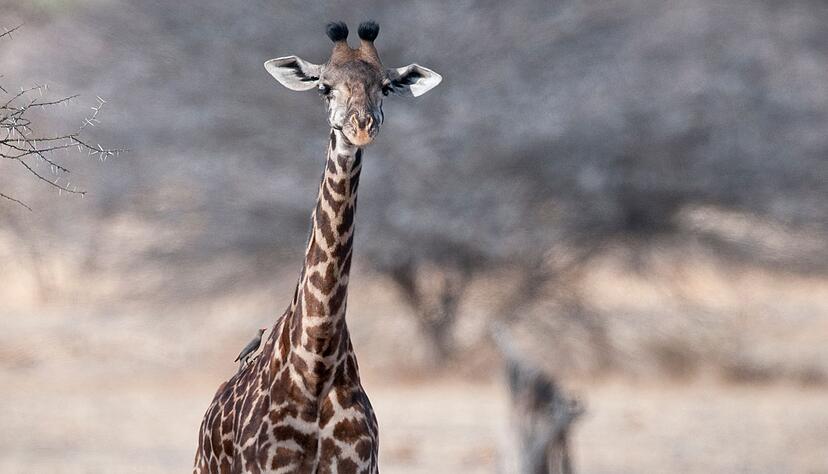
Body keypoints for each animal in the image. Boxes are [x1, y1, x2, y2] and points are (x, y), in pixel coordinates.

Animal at [193, 21, 441, 474]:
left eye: (385, 86)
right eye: (325, 87)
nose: (361, 127)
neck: (316, 366)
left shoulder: (362, 465)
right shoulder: (267, 467)